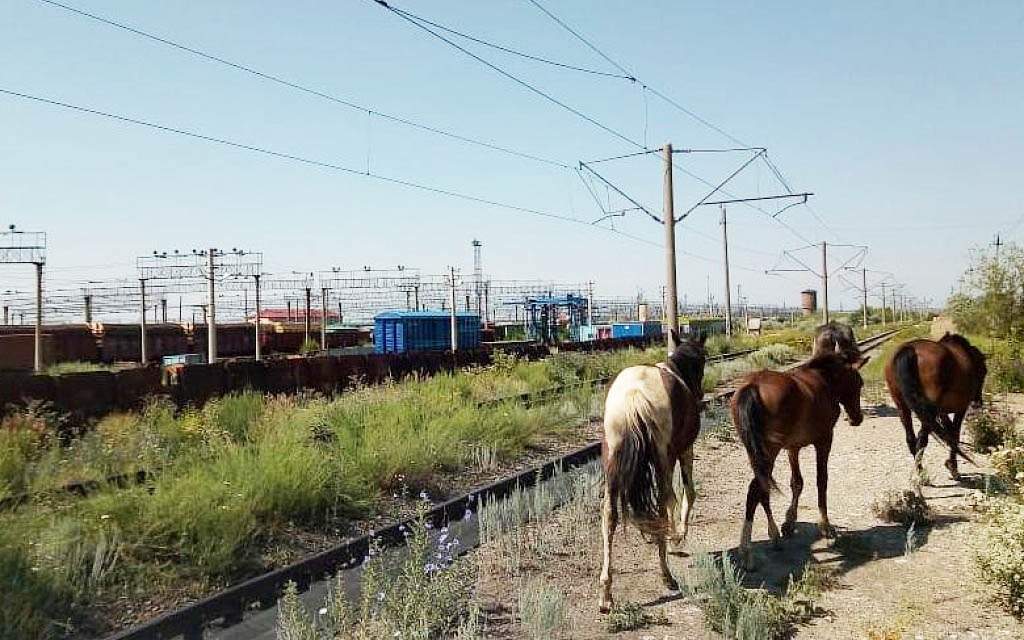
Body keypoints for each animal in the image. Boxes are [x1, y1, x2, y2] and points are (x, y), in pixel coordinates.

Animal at [598, 329, 704, 610]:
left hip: (612, 461)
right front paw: (678, 536)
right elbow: (687, 493)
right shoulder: (684, 450)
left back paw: (606, 593)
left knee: (609, 515)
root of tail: (634, 394)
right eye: (702, 362)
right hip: (662, 458)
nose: (700, 394)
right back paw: (667, 575)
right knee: (664, 503)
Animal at [733, 352, 868, 565]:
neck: (824, 382)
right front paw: (826, 527)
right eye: (859, 383)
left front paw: (789, 523)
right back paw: (747, 552)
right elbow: (821, 481)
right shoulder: (824, 441)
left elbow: (796, 482)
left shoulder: (792, 448)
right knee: (756, 490)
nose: (857, 418)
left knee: (762, 490)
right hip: (769, 451)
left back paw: (773, 537)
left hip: (755, 453)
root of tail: (753, 386)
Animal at [884, 329, 987, 479]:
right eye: (983, 371)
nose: (977, 402)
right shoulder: (960, 409)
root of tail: (909, 349)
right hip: (929, 411)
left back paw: (919, 471)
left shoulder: (942, 412)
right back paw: (921, 476)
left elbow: (949, 433)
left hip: (903, 406)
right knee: (922, 439)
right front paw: (953, 467)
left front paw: (950, 464)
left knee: (911, 438)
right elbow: (954, 435)